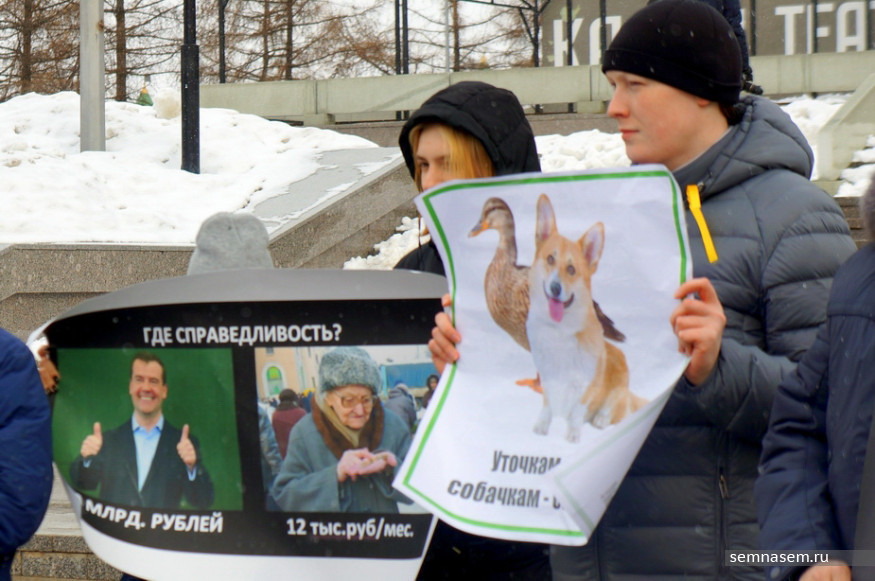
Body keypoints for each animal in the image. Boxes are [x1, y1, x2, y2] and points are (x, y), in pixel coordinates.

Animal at [526, 194, 646, 442]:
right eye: (550, 259)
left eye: (571, 269)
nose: (555, 288)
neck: (559, 333)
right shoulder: (546, 377)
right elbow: (547, 404)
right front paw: (542, 425)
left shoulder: (587, 385)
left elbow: (576, 411)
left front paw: (572, 434)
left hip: (619, 390)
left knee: (616, 409)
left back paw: (600, 420)